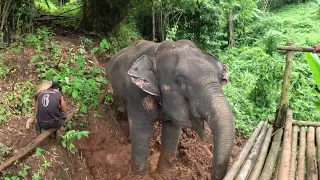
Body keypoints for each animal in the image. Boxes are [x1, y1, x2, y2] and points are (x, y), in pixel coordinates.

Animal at [107, 39, 235, 180]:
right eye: (181, 81)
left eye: (220, 79)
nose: (206, 138)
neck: (157, 53)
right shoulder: (137, 93)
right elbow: (141, 130)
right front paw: (140, 175)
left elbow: (172, 131)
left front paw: (164, 173)